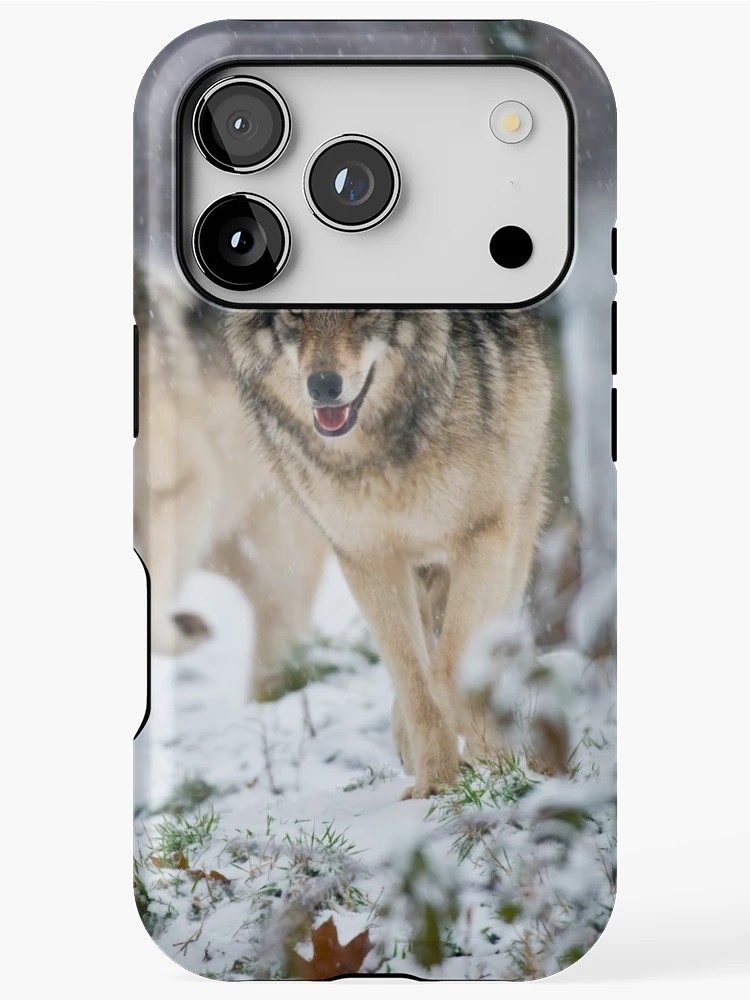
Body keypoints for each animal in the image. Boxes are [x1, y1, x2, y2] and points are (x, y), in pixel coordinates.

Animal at [225, 309, 552, 796]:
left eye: (361, 311)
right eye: (295, 314)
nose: (323, 385)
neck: (377, 455)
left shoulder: (485, 533)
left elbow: (445, 670)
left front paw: (488, 750)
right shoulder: (365, 557)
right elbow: (413, 678)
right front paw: (436, 783)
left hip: (519, 524)